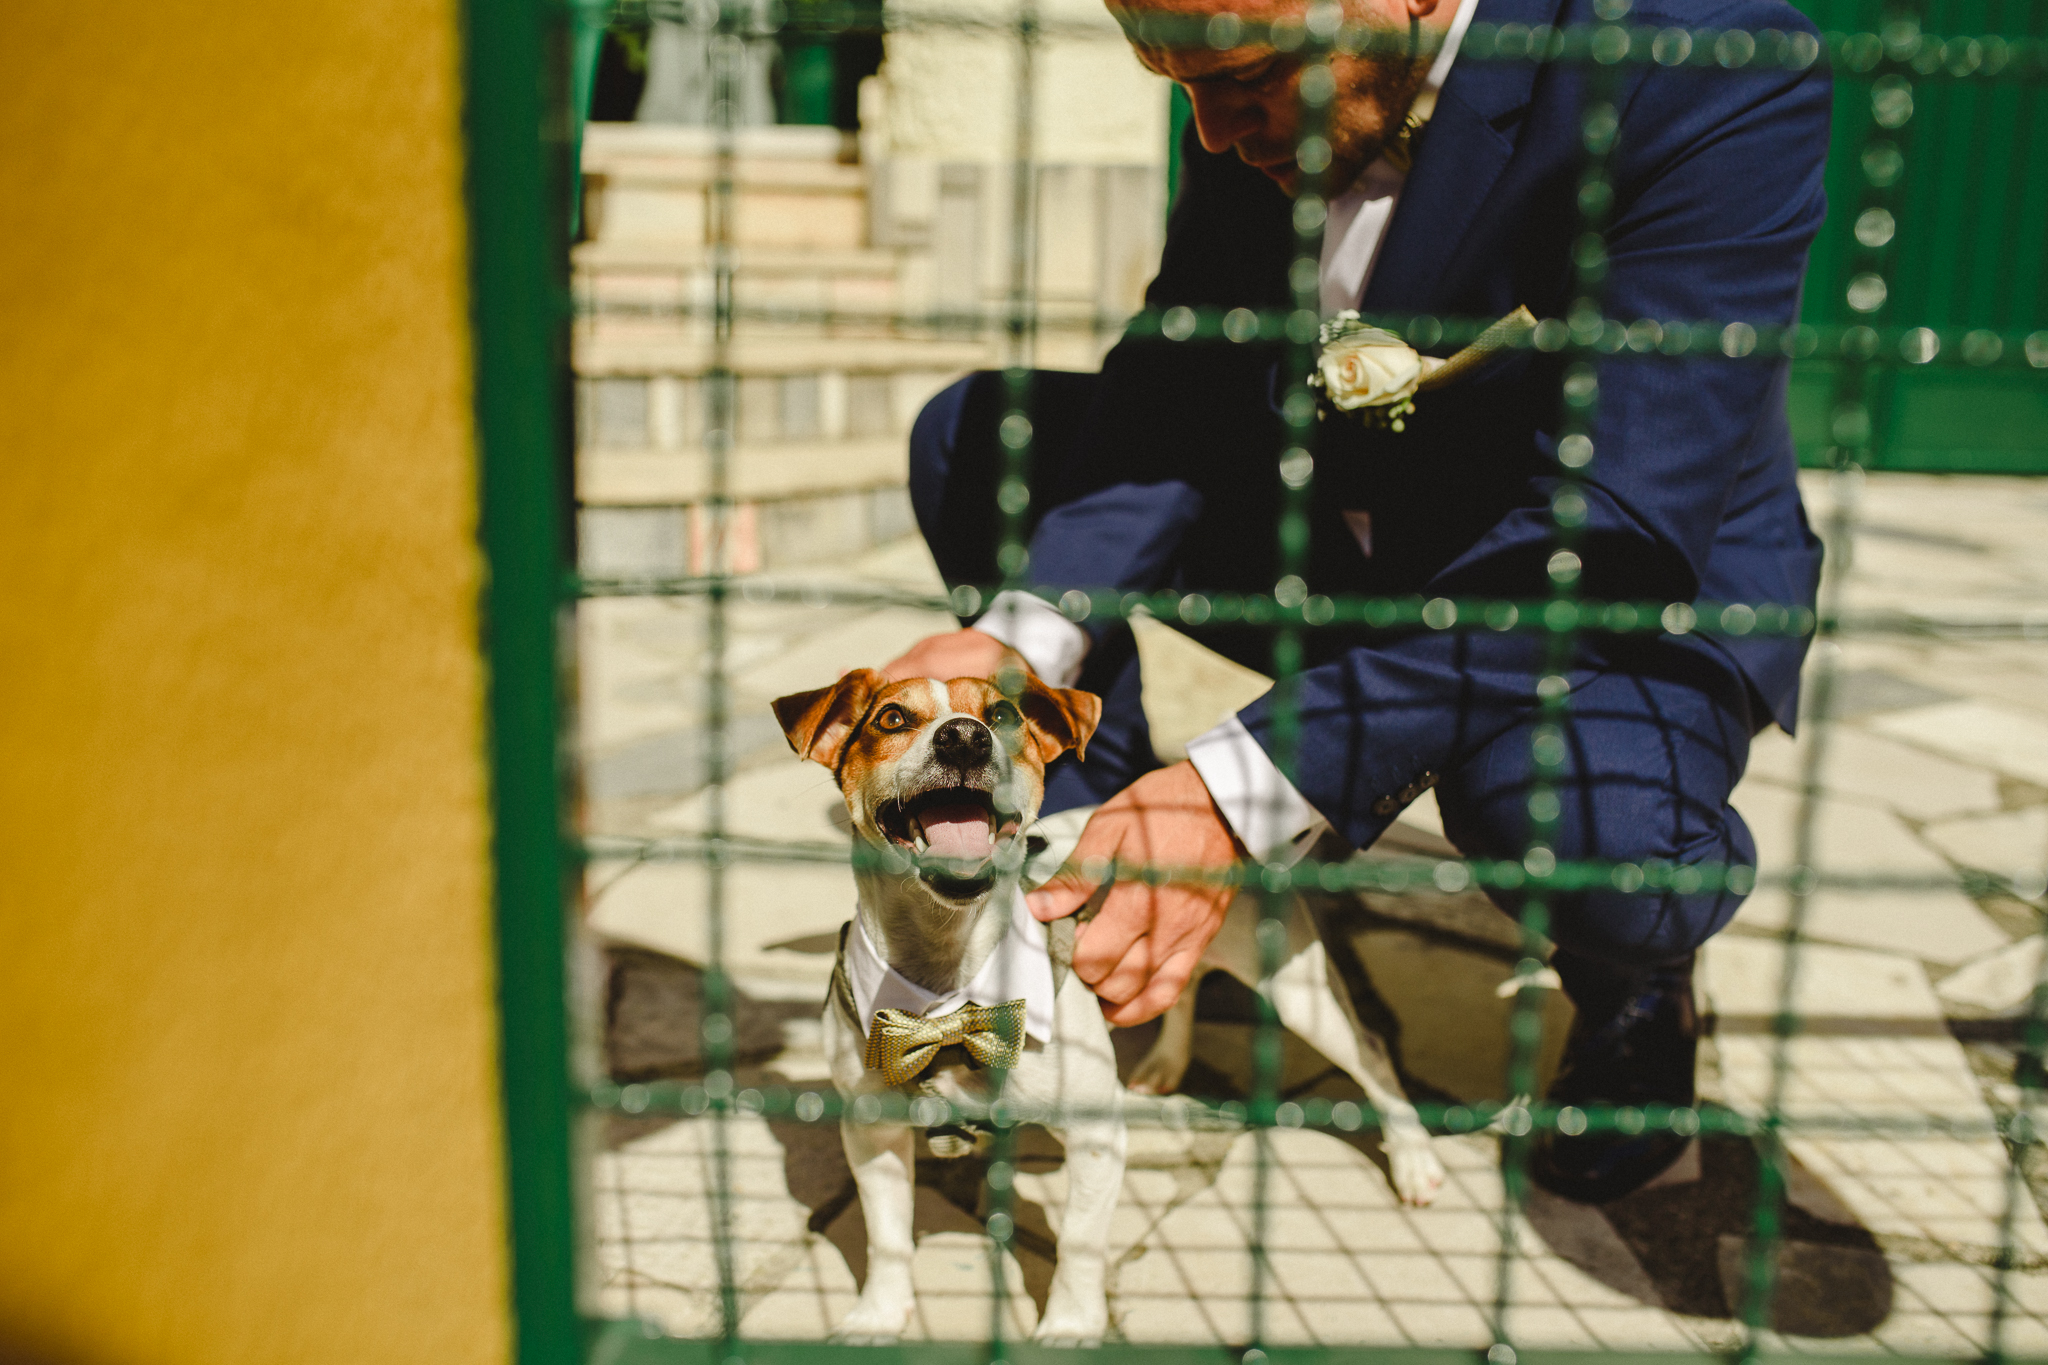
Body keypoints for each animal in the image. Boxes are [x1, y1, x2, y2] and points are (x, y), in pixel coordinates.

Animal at [770, 671, 1122, 1342]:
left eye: (1004, 714)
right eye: (891, 718)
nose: (963, 737)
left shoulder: (1096, 1137)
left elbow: (1082, 1243)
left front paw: (1070, 1324)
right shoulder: (872, 1130)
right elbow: (887, 1237)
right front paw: (879, 1315)